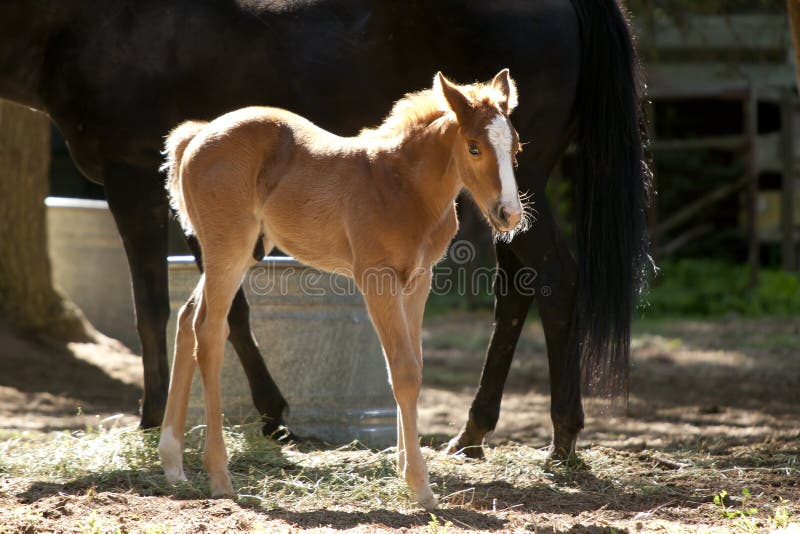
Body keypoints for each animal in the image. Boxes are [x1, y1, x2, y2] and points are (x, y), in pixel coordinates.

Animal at [0, 0, 648, 460]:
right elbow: (224, 310)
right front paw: (269, 416)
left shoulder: (131, 181)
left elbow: (151, 308)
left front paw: (153, 418)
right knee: (516, 290)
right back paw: (473, 433)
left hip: (523, 195)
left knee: (557, 281)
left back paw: (561, 438)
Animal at [159, 69, 528, 508]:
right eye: (473, 147)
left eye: (516, 147)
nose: (509, 214)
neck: (404, 185)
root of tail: (197, 134)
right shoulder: (377, 276)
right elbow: (403, 371)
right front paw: (420, 485)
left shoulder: (418, 279)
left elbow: (415, 366)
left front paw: (404, 468)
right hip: (226, 249)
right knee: (210, 331)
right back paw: (219, 476)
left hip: (245, 252)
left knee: (187, 319)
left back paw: (172, 464)